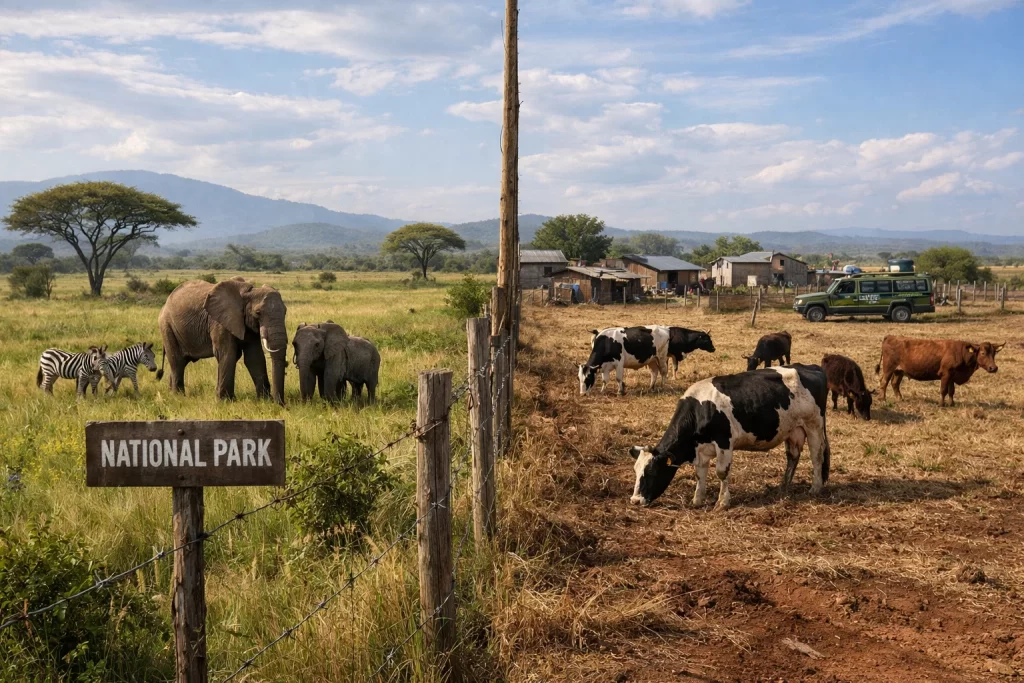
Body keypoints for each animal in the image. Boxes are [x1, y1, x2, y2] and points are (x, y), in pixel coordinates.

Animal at [629, 364, 830, 510]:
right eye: (636, 471)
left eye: (652, 472)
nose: (635, 500)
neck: (700, 409)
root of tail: (811, 367)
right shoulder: (700, 450)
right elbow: (700, 474)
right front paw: (697, 500)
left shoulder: (724, 442)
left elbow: (721, 472)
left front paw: (722, 503)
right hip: (793, 430)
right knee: (793, 456)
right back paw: (783, 487)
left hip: (814, 425)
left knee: (816, 456)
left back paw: (815, 488)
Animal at [875, 336, 1004, 406]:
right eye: (982, 353)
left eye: (994, 353)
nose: (994, 368)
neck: (961, 352)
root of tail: (890, 337)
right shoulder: (946, 374)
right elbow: (943, 390)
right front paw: (941, 404)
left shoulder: (952, 376)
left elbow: (951, 391)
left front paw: (952, 404)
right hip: (889, 368)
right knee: (884, 382)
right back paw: (883, 399)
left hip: (899, 371)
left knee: (894, 384)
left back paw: (900, 399)